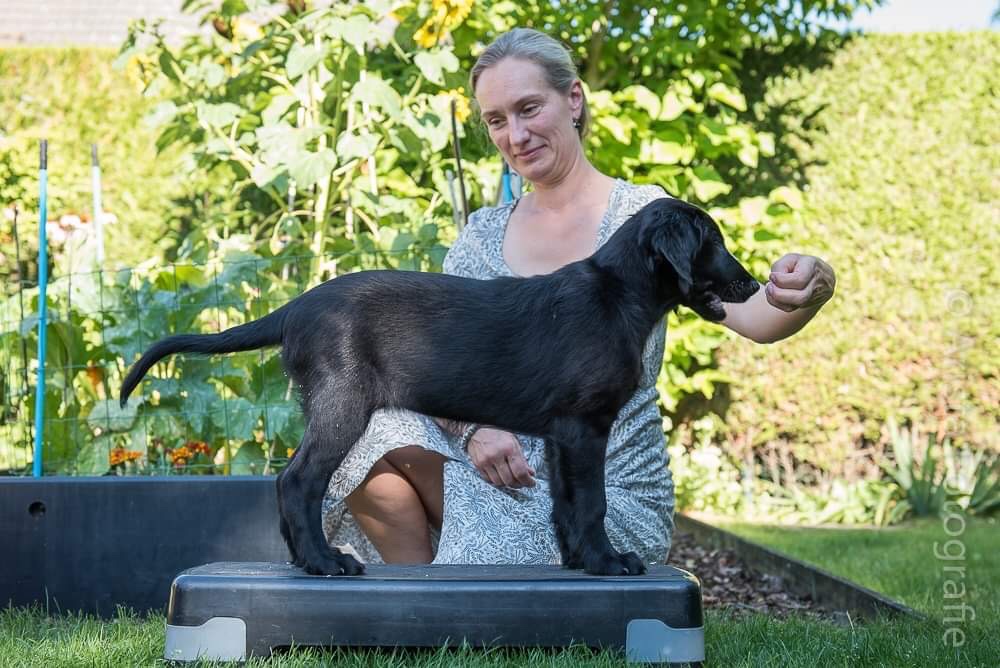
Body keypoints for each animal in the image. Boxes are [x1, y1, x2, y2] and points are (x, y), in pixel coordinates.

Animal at [120, 196, 759, 577]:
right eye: (715, 242)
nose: (754, 285)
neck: (619, 293)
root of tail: (296, 306)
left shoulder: (561, 435)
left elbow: (566, 505)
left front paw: (579, 560)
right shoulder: (585, 427)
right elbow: (594, 502)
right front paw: (608, 562)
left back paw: (308, 561)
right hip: (342, 404)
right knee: (297, 480)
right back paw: (326, 562)